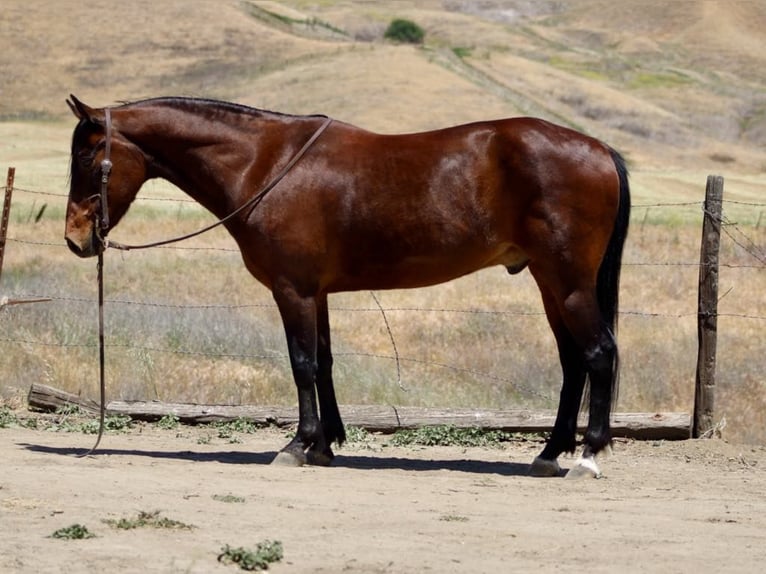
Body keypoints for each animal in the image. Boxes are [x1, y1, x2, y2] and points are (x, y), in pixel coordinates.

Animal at [65, 95, 630, 478]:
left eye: (88, 158)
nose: (75, 238)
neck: (265, 163)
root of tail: (599, 148)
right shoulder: (316, 293)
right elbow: (324, 361)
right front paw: (325, 445)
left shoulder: (292, 290)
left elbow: (302, 363)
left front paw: (297, 445)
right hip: (548, 281)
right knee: (573, 362)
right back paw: (550, 453)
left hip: (569, 282)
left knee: (599, 354)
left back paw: (588, 456)